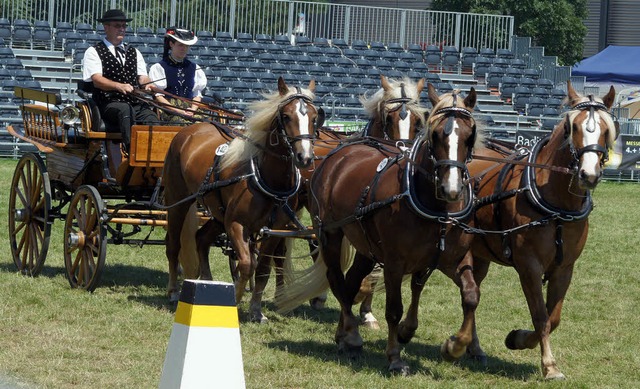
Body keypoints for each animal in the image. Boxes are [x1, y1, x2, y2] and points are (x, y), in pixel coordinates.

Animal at [160, 76, 320, 322]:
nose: (305, 157)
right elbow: (246, 264)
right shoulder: (236, 224)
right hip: (178, 202)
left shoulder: (275, 230)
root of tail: (189, 130)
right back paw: (173, 291)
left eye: (314, 117)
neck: (267, 178)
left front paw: (256, 310)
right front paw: (234, 300)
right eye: (286, 116)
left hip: (218, 214)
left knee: (201, 238)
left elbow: (262, 269)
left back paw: (206, 282)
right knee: (173, 245)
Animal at [276, 85, 480, 372]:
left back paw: (343, 334)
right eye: (435, 133)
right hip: (329, 235)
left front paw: (454, 346)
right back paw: (351, 335)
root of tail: (338, 154)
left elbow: (470, 296)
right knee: (337, 281)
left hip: (365, 246)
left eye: (469, 135)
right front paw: (395, 357)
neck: (436, 207)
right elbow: (394, 308)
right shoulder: (394, 263)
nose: (450, 188)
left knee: (351, 283)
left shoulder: (454, 259)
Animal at [468, 81, 616, 376]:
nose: (588, 175)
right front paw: (549, 365)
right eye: (573, 127)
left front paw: (517, 339)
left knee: (472, 291)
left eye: (606, 129)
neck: (557, 206)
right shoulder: (529, 266)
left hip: (480, 254)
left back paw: (472, 347)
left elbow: (553, 317)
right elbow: (540, 316)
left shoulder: (564, 268)